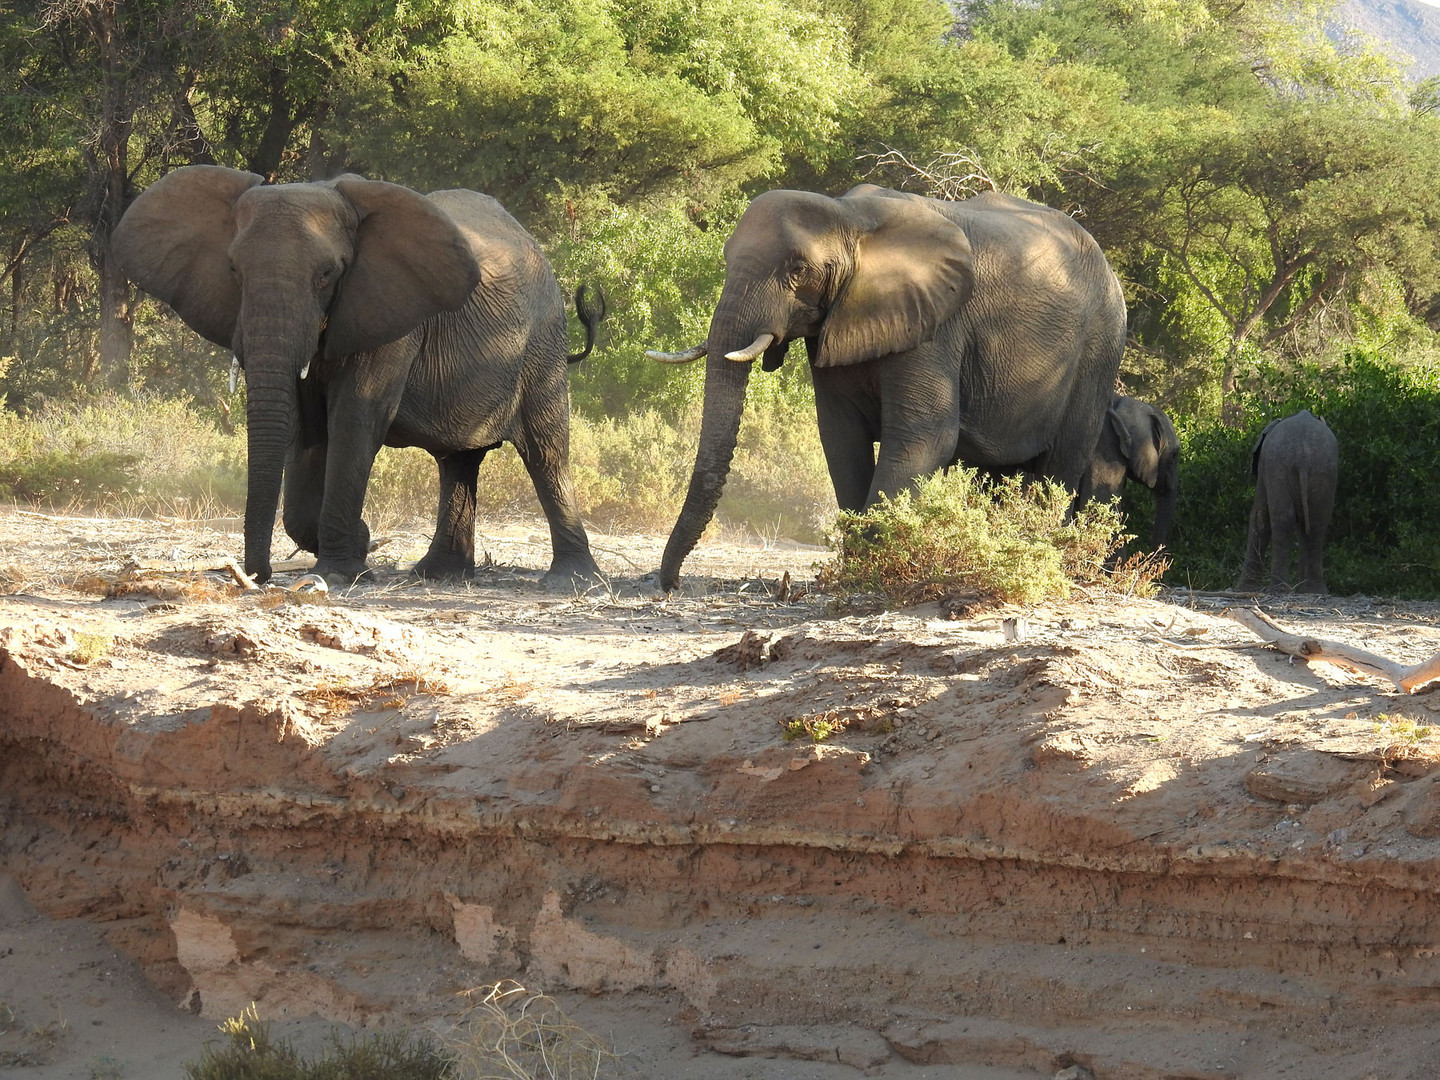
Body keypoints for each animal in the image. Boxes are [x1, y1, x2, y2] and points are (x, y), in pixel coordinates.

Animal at [1238, 408, 1336, 596]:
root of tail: (1303, 457)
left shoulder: (1264, 466)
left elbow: (1260, 517)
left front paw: (1244, 589)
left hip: (1279, 467)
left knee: (1282, 521)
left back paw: (1278, 590)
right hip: (1323, 470)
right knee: (1316, 523)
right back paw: (1315, 591)